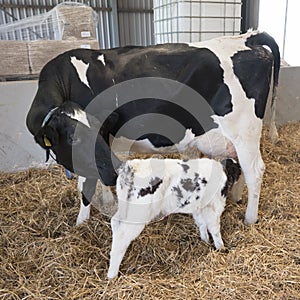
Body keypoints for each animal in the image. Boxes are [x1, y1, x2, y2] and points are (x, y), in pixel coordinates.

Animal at [26, 31, 282, 227]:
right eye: (73, 139)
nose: (115, 173)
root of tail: (247, 37)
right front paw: (106, 201)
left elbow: (86, 183)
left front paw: (81, 222)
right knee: (239, 166)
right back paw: (237, 197)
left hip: (244, 131)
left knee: (255, 170)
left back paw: (250, 218)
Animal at [106, 158, 243, 278]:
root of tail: (132, 166)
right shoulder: (214, 206)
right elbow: (214, 229)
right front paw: (221, 248)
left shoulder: (199, 207)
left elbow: (202, 224)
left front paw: (205, 241)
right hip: (138, 214)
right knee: (122, 237)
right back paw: (112, 275)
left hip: (125, 208)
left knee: (115, 223)